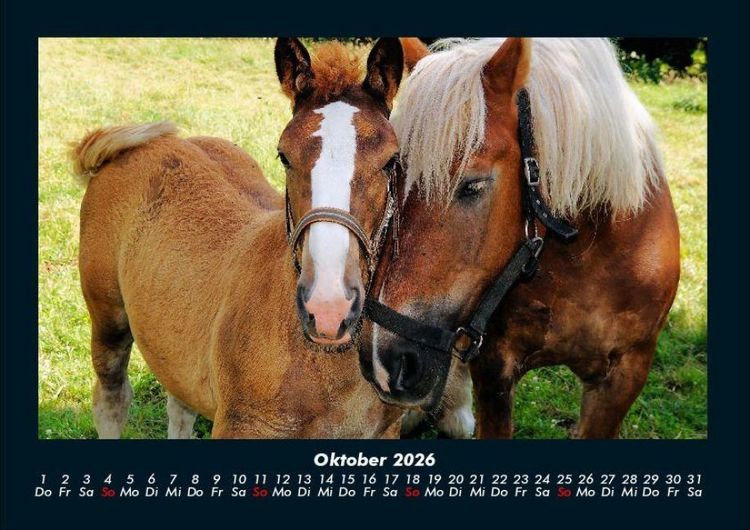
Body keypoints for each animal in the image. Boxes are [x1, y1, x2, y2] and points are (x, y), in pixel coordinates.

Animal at [72, 38, 406, 438]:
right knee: (111, 397)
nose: (328, 308)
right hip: (107, 317)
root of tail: (131, 147)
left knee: (179, 405)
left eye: (391, 160)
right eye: (284, 156)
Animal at [360, 38, 680, 439]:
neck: (583, 256)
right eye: (393, 176)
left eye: (473, 185)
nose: (381, 361)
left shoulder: (625, 375)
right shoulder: (494, 366)